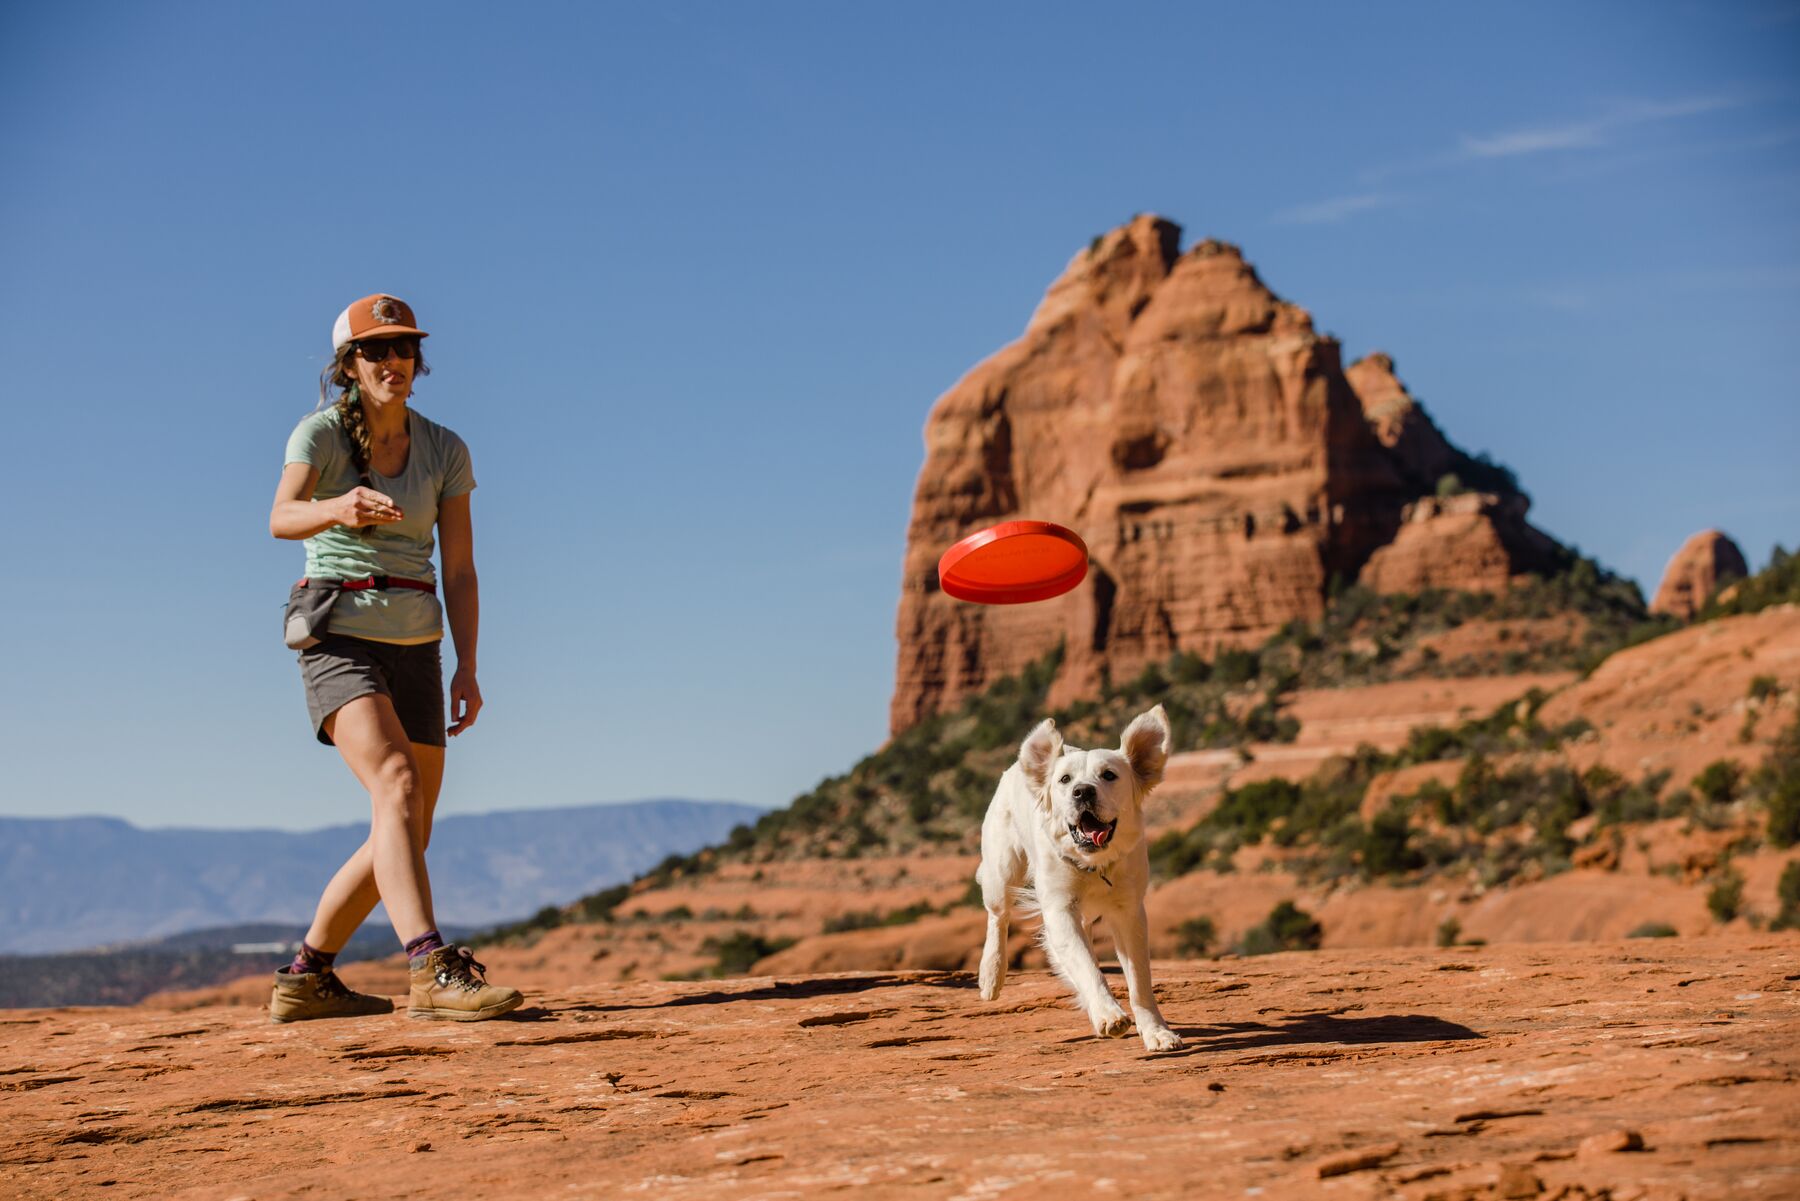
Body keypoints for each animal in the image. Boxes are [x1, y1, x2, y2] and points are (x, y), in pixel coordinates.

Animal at [979, 705, 1188, 1051]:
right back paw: (991, 975)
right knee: (998, 917)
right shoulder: (1060, 909)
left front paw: (1156, 1031)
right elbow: (1089, 967)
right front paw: (1109, 1014)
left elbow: (1139, 981)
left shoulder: (1129, 913)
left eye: (1109, 775)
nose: (1083, 791)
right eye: (1065, 780)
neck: (1094, 864)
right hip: (1002, 869)